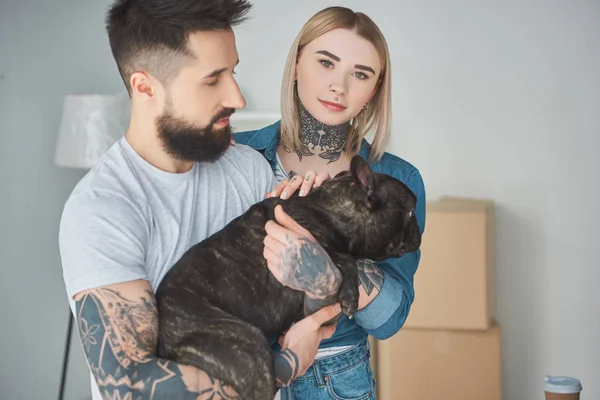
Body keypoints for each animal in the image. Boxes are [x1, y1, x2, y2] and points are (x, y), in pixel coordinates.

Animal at [157, 155, 424, 400]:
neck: (330, 211)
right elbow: (345, 259)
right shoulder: (308, 245)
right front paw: (351, 296)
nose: (419, 232)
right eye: (411, 212)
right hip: (248, 346)